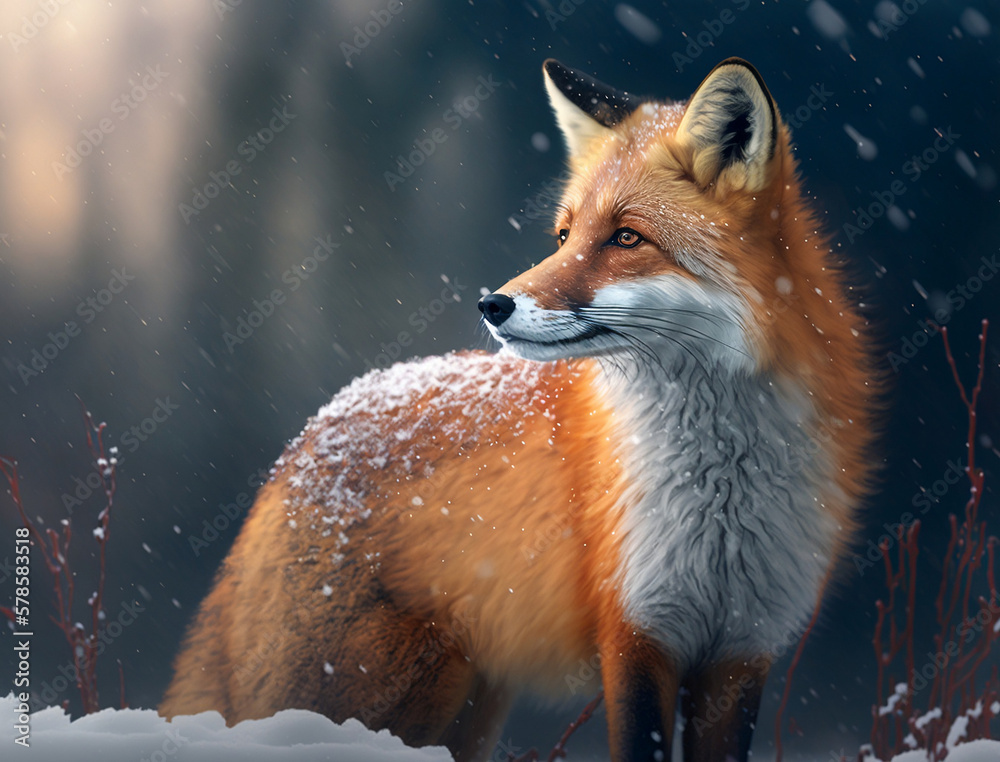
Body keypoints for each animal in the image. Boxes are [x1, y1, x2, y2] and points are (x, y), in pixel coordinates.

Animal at [161, 58, 877, 762]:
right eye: (563, 235)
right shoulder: (635, 634)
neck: (723, 492)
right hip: (390, 691)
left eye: (626, 237)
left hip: (467, 710)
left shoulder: (741, 651)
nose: (492, 304)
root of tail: (313, 431)